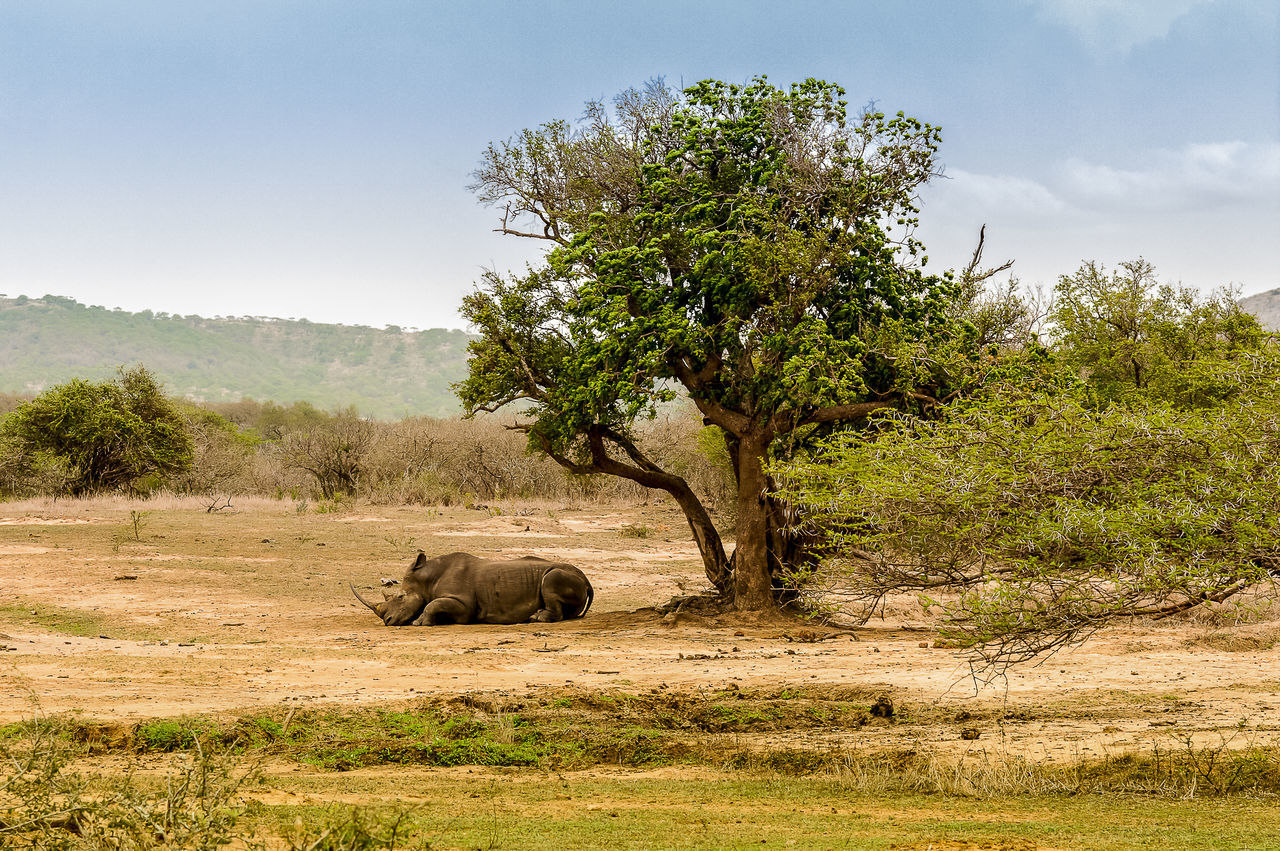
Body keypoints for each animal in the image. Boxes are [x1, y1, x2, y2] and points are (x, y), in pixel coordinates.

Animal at [348, 550, 591, 624]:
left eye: (399, 597)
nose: (388, 621)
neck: (427, 579)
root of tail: (588, 580)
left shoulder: (464, 604)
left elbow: (433, 604)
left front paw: (420, 622)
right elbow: (432, 604)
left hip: (560, 575)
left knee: (550, 579)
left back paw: (536, 618)